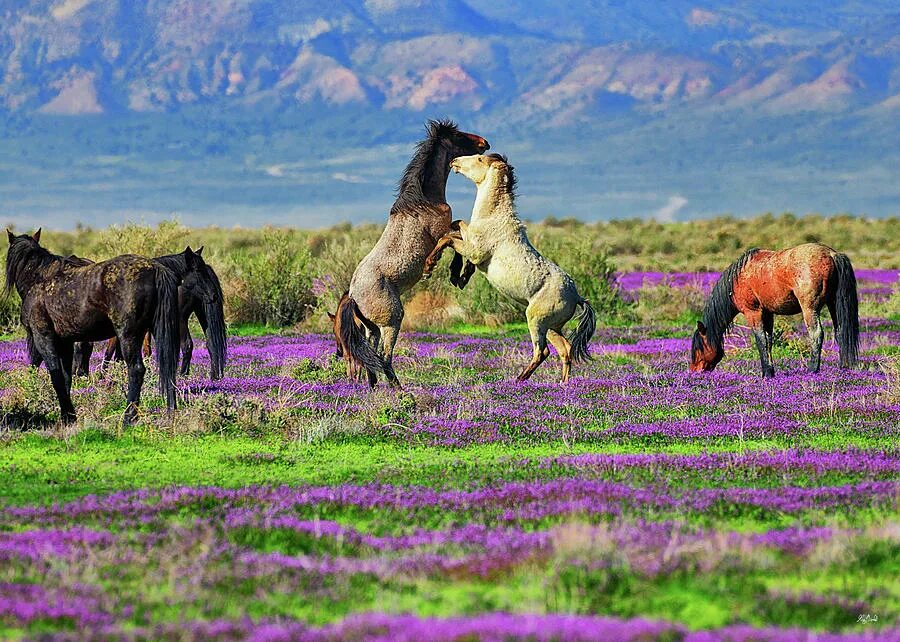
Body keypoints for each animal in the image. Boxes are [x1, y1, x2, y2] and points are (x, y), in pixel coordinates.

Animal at [336, 119, 488, 384]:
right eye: (459, 135)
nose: (484, 143)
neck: (424, 200)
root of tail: (353, 295)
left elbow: (458, 235)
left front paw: (455, 273)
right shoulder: (440, 231)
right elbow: (454, 238)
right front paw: (455, 273)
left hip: (371, 329)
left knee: (370, 361)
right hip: (391, 322)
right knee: (384, 359)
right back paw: (400, 390)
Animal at [424, 152, 596, 382]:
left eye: (479, 159)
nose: (454, 161)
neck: (493, 217)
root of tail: (577, 296)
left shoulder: (475, 250)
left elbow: (448, 238)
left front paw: (430, 266)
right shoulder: (470, 243)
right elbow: (455, 228)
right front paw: (460, 276)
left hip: (536, 320)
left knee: (542, 352)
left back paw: (519, 380)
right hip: (552, 327)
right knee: (565, 350)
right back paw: (562, 384)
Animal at [692, 242, 860, 378]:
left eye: (698, 348)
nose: (694, 372)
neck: (737, 280)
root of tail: (832, 254)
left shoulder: (753, 312)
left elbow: (760, 341)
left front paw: (766, 373)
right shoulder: (767, 313)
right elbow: (768, 341)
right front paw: (770, 372)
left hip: (810, 308)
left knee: (816, 334)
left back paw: (812, 370)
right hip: (833, 304)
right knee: (840, 332)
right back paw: (843, 367)